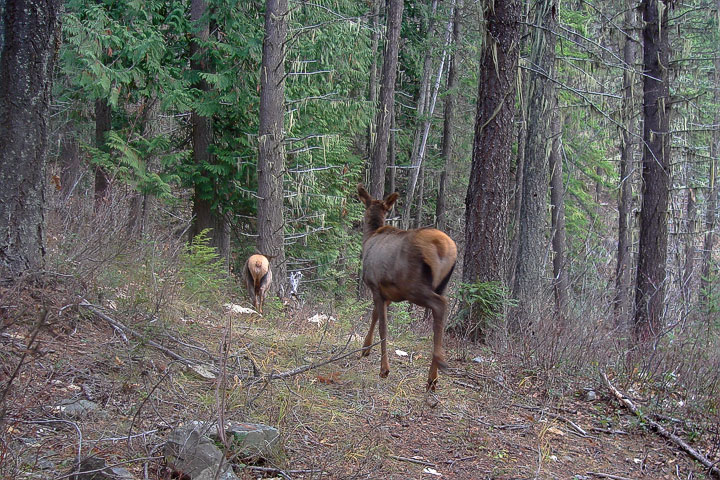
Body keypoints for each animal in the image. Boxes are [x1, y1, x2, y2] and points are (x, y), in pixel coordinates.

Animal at [358, 184, 458, 390]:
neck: (370, 237)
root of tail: (444, 249)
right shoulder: (386, 295)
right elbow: (374, 316)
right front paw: (365, 348)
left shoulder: (375, 285)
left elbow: (383, 327)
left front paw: (384, 369)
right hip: (441, 284)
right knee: (439, 318)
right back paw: (432, 376)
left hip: (413, 286)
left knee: (440, 305)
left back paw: (436, 370)